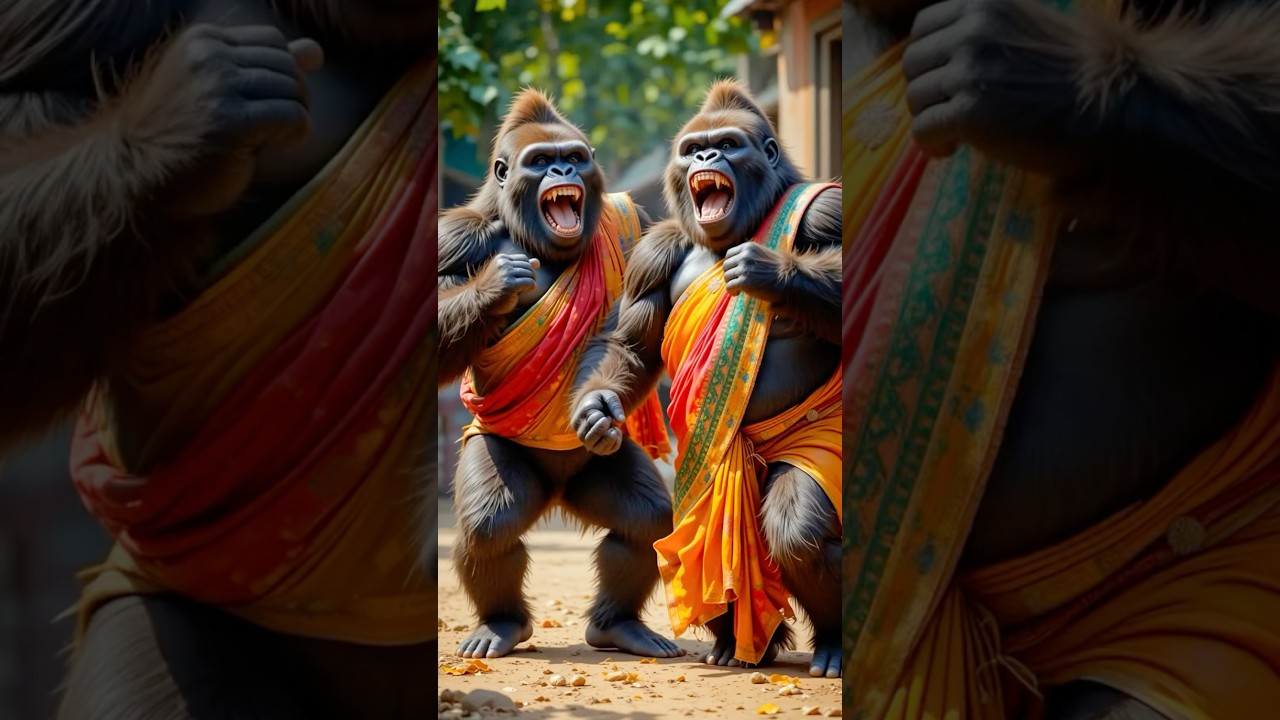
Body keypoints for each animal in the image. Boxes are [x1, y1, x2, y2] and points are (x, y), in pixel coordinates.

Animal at [437, 88, 684, 661]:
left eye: (573, 157)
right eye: (540, 161)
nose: (562, 170)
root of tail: (554, 494)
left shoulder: (639, 220)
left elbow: (634, 336)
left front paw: (599, 409)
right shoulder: (453, 238)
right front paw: (496, 285)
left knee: (644, 521)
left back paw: (618, 626)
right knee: (493, 523)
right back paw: (502, 624)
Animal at [569, 81, 843, 678]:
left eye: (728, 144)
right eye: (694, 149)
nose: (707, 159)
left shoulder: (828, 213)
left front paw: (770, 271)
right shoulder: (654, 252)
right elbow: (633, 346)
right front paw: (599, 412)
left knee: (799, 531)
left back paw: (832, 643)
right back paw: (735, 643)